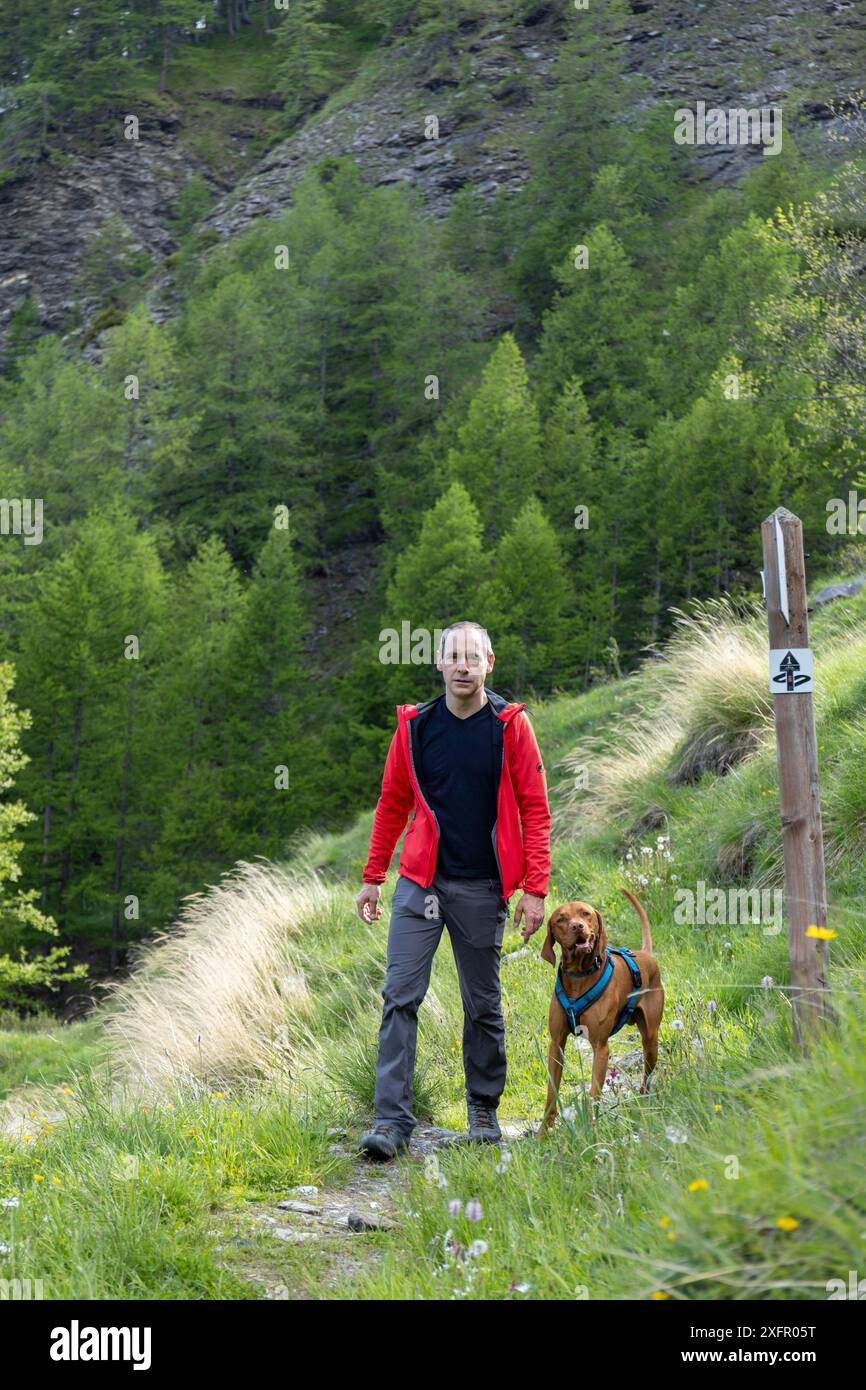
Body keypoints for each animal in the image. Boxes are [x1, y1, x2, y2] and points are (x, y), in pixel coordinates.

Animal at [539, 889, 667, 1128]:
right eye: (561, 919)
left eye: (585, 913)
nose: (577, 926)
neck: (579, 976)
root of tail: (645, 953)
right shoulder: (556, 1043)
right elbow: (552, 1093)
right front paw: (543, 1133)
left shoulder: (600, 1047)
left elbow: (594, 1094)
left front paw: (591, 1129)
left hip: (651, 1041)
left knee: (647, 1075)